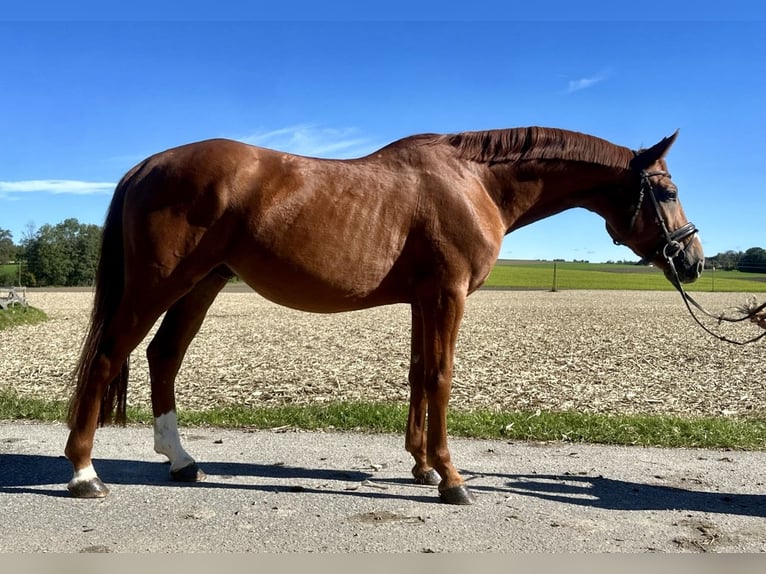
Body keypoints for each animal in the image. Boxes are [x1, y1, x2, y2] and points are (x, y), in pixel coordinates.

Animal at [63, 126, 704, 504]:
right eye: (668, 192)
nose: (693, 260)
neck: (473, 180)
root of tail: (147, 165)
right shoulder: (448, 295)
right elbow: (441, 379)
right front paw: (451, 479)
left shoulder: (425, 300)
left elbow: (419, 376)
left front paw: (421, 465)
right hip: (159, 285)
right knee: (108, 356)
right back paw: (84, 473)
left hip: (202, 285)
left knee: (162, 355)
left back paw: (180, 462)